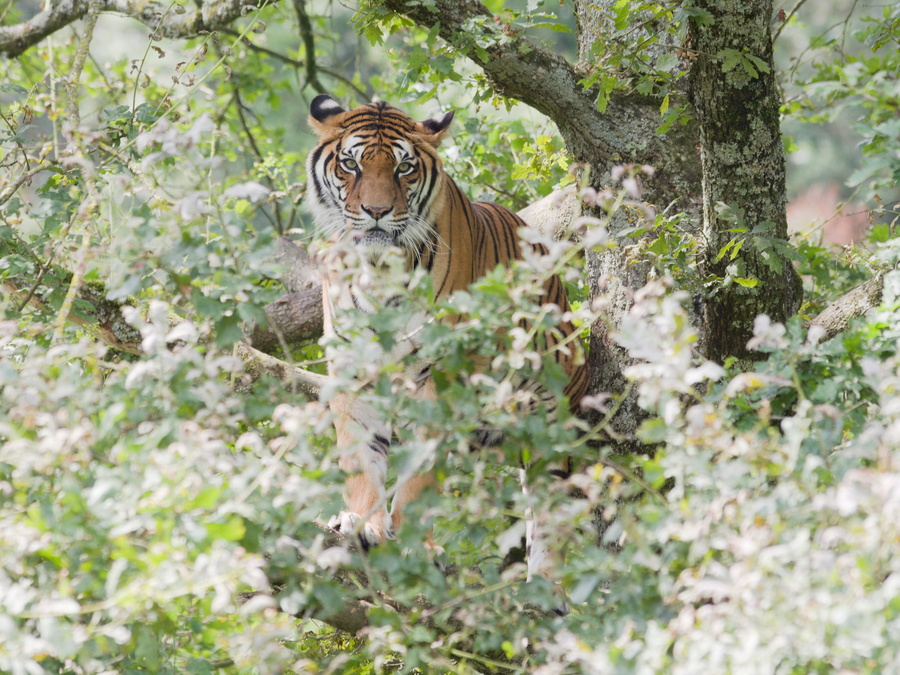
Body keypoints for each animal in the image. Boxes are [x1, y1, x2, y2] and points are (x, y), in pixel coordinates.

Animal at [306, 94, 589, 579]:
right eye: (350, 164)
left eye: (403, 168)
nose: (376, 212)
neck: (379, 271)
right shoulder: (354, 369)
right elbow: (358, 456)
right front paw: (361, 522)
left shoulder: (444, 375)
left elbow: (424, 471)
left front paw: (416, 545)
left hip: (551, 428)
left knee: (548, 519)